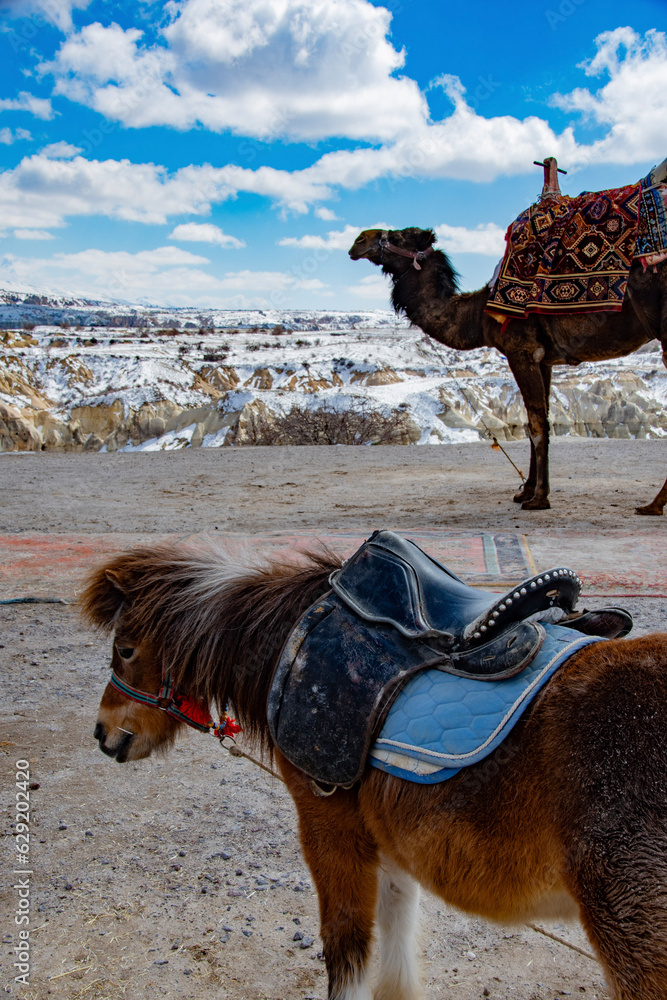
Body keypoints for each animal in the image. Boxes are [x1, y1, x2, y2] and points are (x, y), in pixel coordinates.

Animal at [83, 537, 667, 1000]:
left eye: (126, 649)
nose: (103, 734)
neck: (292, 646)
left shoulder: (330, 828)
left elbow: (348, 951)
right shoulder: (388, 839)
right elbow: (396, 937)